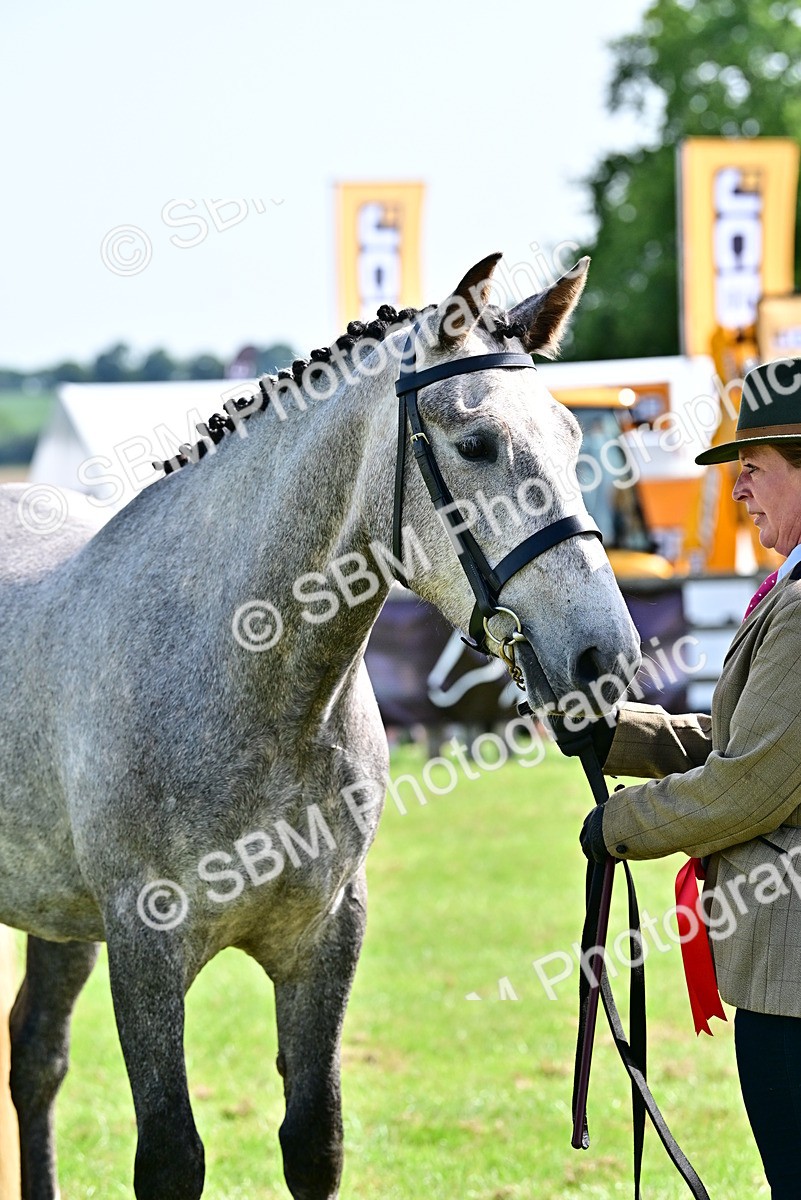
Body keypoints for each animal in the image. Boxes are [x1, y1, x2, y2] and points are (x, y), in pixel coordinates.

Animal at [0, 252, 640, 1199]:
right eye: (476, 445)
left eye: (570, 439)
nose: (605, 657)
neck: (241, 680)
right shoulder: (145, 950)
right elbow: (171, 1156)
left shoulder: (324, 938)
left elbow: (314, 1139)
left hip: (58, 918)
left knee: (37, 1057)